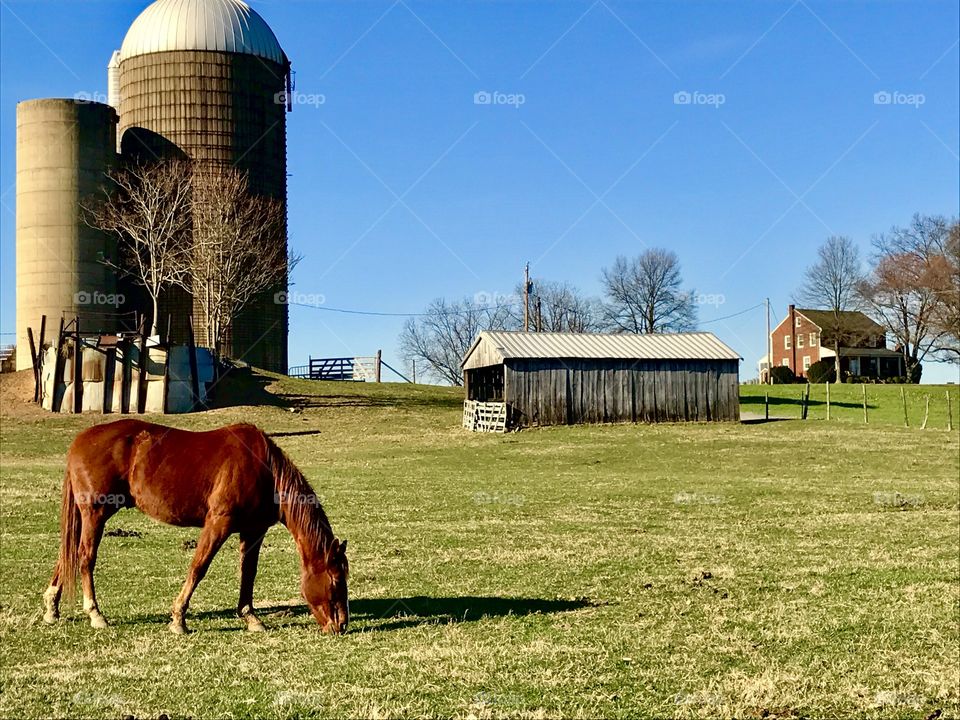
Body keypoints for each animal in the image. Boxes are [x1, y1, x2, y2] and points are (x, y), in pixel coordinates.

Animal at [42, 419, 349, 634]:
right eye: (336, 581)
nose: (342, 625)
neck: (266, 471)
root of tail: (79, 442)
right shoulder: (218, 523)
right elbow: (198, 567)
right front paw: (179, 618)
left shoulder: (253, 531)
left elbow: (248, 573)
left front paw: (250, 617)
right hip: (95, 514)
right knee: (84, 558)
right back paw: (95, 614)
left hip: (84, 517)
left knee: (67, 556)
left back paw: (51, 607)